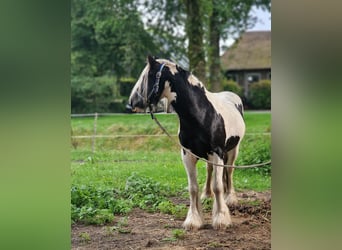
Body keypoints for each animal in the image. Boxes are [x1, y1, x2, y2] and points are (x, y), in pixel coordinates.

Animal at [127, 55, 244, 229]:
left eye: (147, 76)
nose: (132, 103)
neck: (202, 114)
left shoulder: (217, 153)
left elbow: (218, 186)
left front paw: (221, 219)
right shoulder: (187, 155)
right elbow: (193, 188)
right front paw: (193, 220)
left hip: (232, 150)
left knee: (229, 172)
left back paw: (230, 199)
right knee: (210, 170)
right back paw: (206, 195)